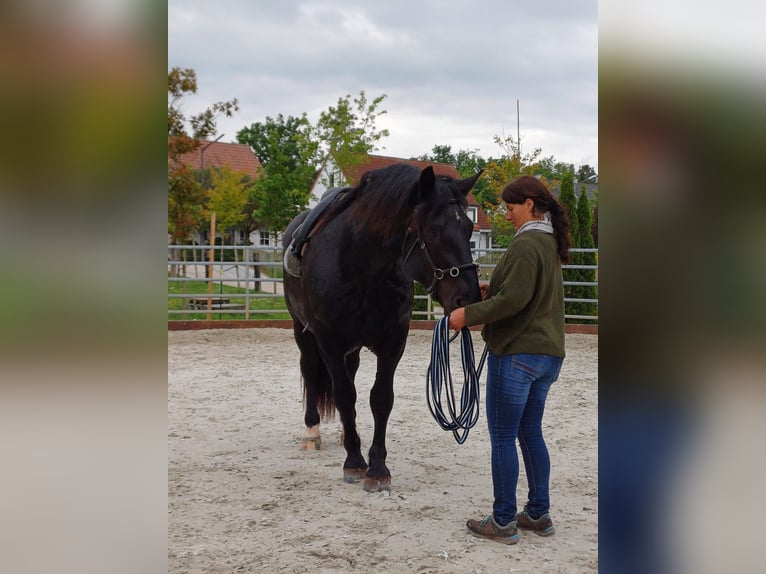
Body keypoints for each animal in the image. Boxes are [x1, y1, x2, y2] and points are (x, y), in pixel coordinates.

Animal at [284, 164, 484, 492]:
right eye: (435, 230)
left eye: (469, 229)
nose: (467, 299)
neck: (361, 267)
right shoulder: (330, 343)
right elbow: (344, 395)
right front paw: (354, 462)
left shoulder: (392, 344)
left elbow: (380, 399)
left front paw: (377, 468)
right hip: (303, 331)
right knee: (311, 372)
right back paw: (312, 432)